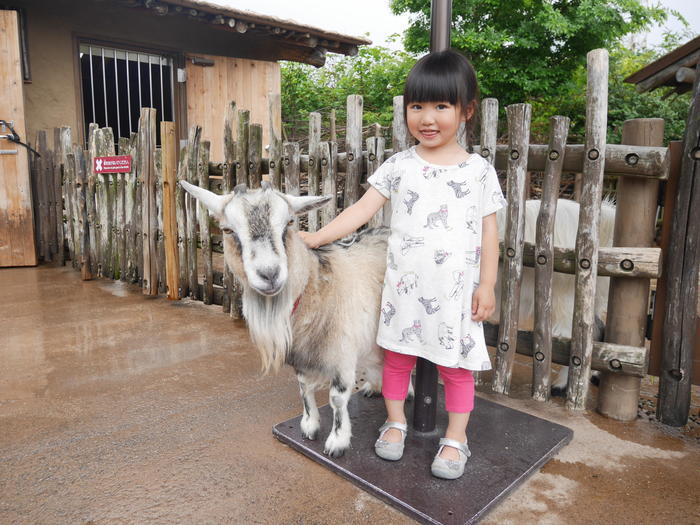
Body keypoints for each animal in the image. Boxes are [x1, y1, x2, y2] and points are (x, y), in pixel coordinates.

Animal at [180, 179, 386, 454]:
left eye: (289, 222)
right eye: (227, 229)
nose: (269, 274)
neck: (316, 284)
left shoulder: (342, 354)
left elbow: (337, 398)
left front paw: (337, 442)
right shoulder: (301, 354)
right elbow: (304, 387)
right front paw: (309, 426)